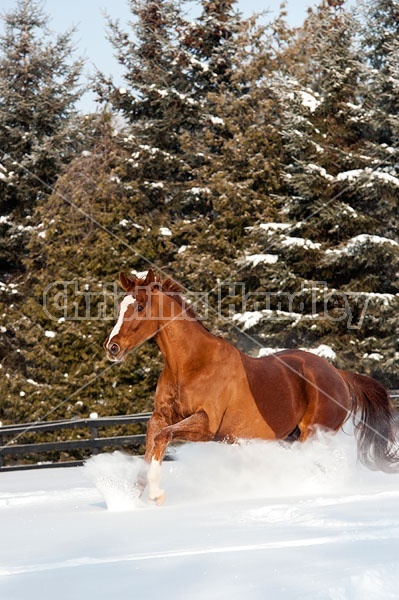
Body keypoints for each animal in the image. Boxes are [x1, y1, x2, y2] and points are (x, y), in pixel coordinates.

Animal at [104, 268, 398, 502]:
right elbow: (153, 443)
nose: (112, 347)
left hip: (312, 436)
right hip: (291, 438)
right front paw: (128, 500)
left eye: (139, 306)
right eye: (120, 307)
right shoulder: (160, 417)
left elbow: (163, 438)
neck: (191, 364)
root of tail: (338, 374)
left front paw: (156, 494)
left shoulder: (207, 425)